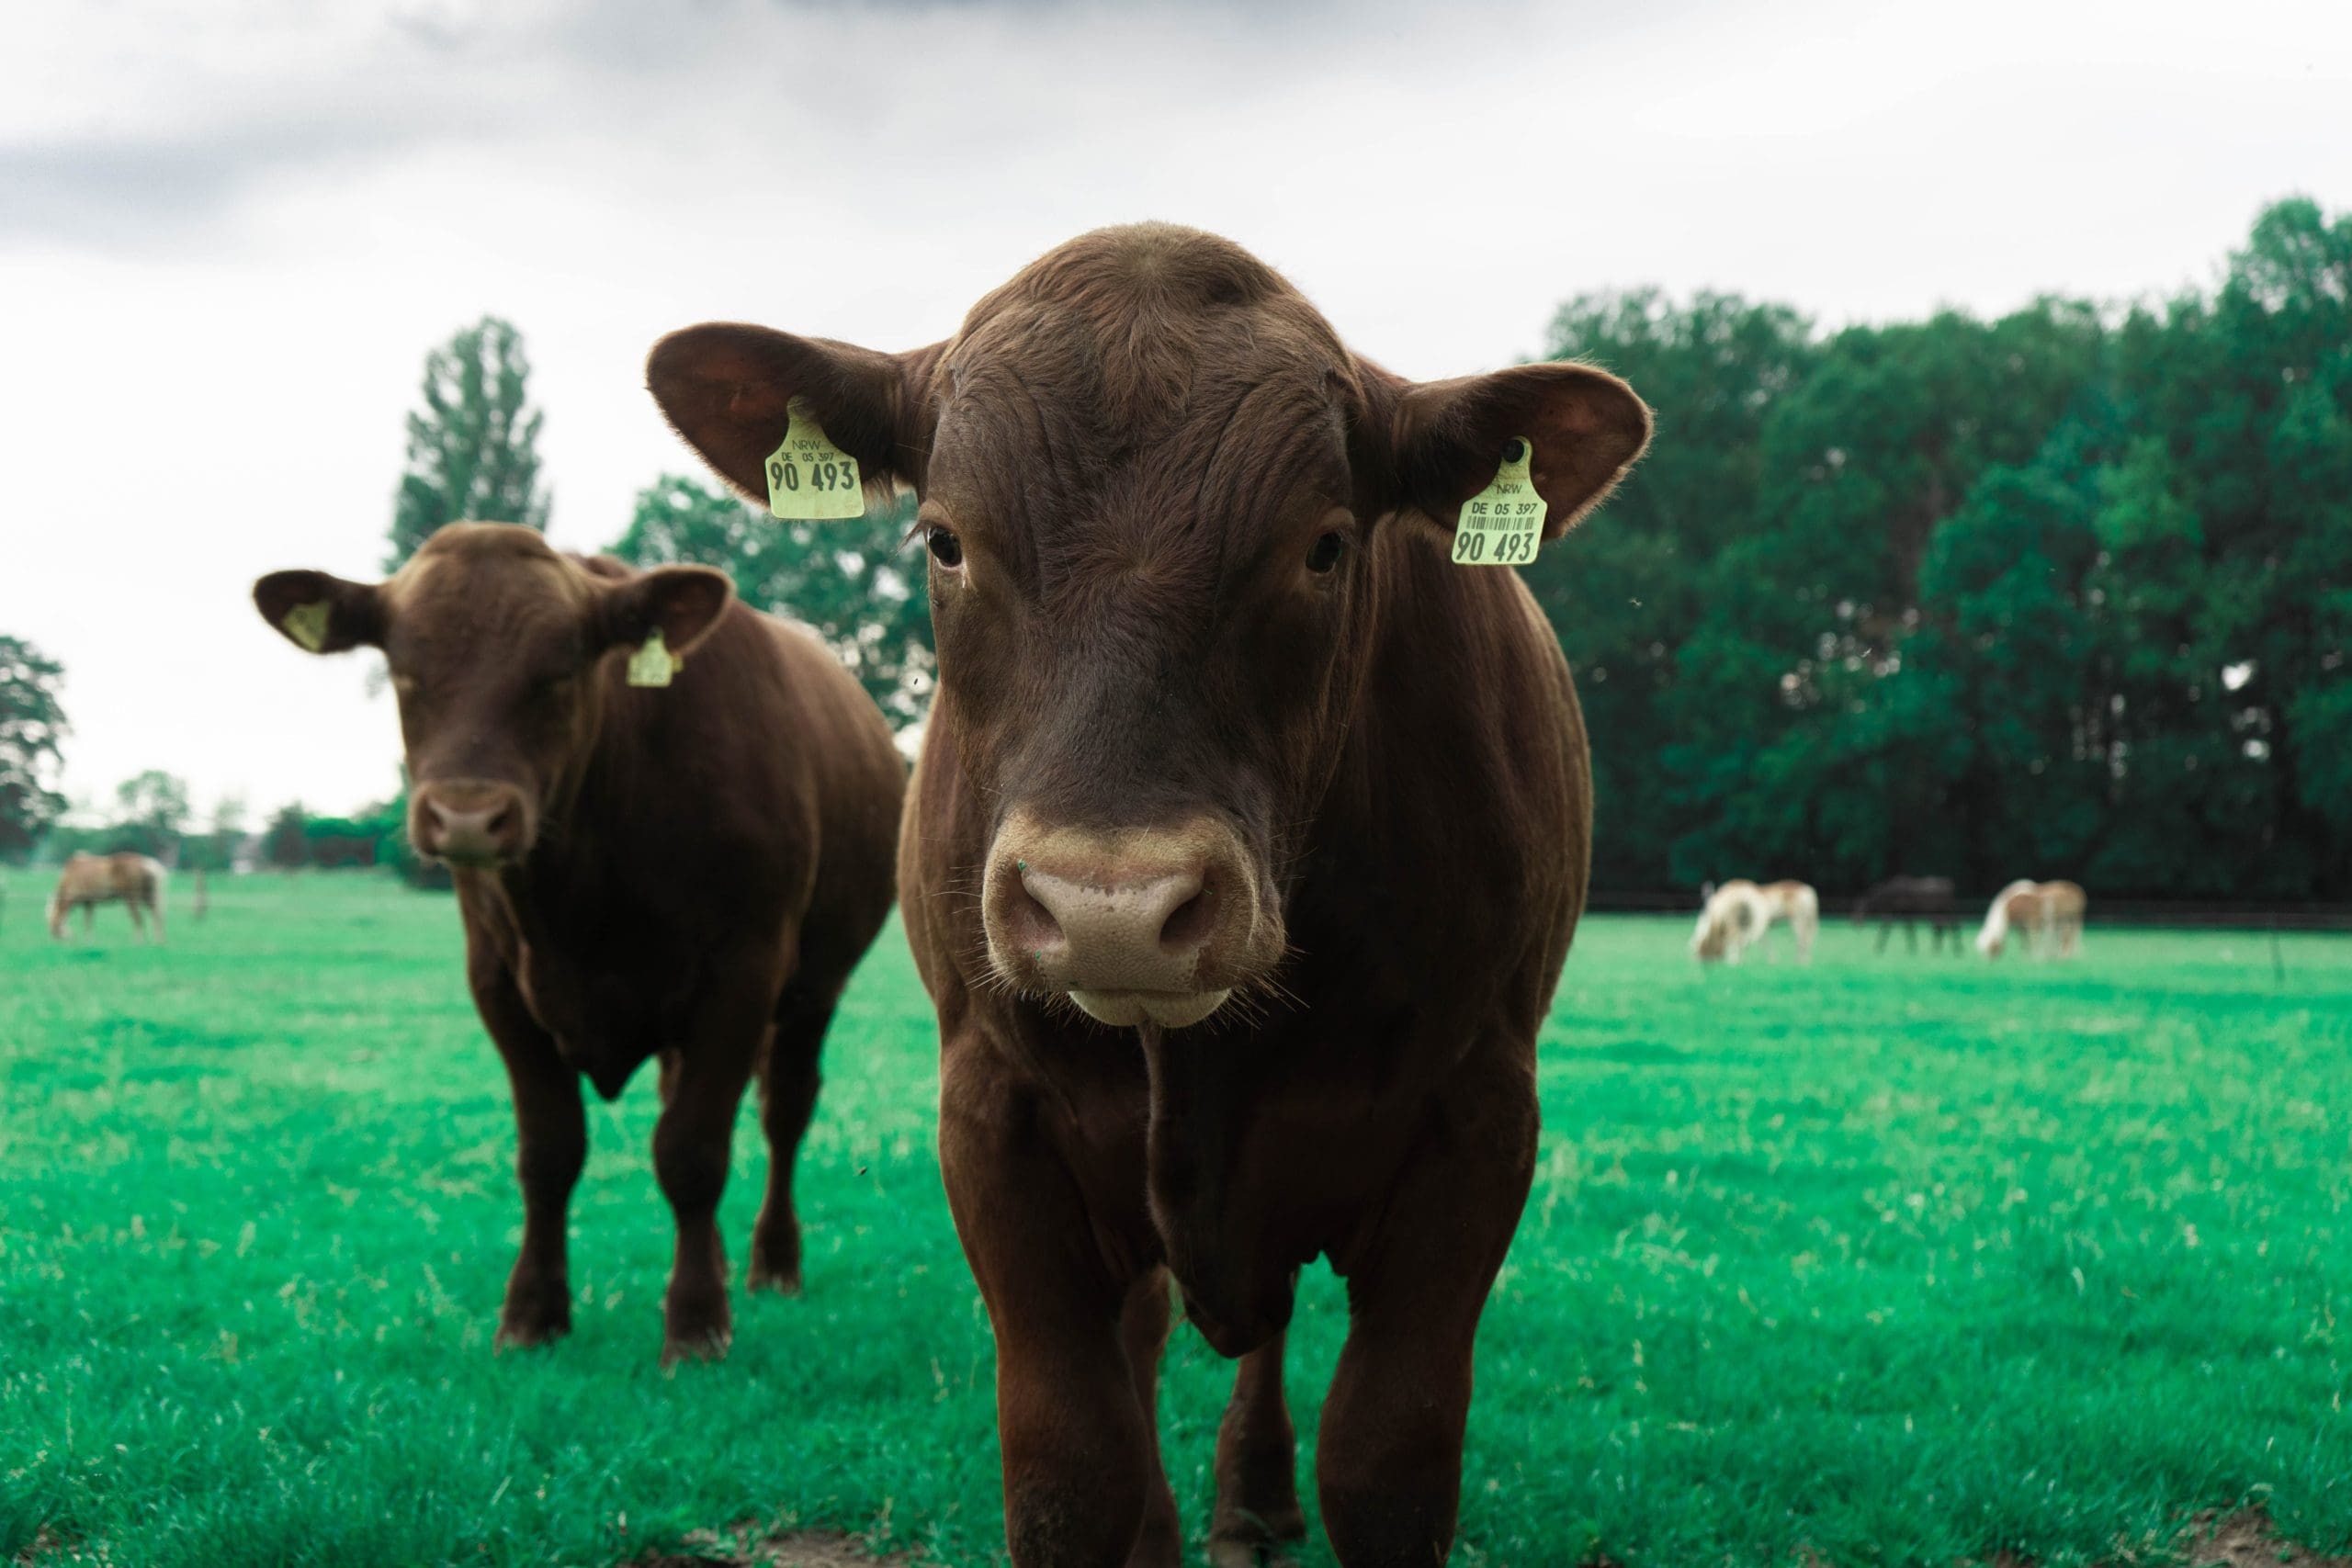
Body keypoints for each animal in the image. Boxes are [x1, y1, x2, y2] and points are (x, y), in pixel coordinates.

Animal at [48, 851, 167, 942]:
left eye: (53, 924)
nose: (58, 939)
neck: (70, 876)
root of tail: (146, 863)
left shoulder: (86, 900)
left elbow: (87, 921)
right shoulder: (89, 902)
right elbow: (88, 921)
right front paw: (89, 940)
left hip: (131, 898)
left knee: (138, 919)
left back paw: (138, 941)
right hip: (148, 897)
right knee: (157, 916)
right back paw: (159, 941)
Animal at [252, 523, 904, 1363]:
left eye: (560, 672)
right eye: (403, 669)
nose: (467, 816)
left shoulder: (743, 975)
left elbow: (692, 1151)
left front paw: (696, 1322)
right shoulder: (500, 982)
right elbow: (550, 1151)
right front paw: (534, 1312)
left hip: (816, 988)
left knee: (783, 1110)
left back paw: (771, 1263)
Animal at [648, 223, 1651, 1566]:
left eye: (1326, 544)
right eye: (945, 540)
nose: (1109, 908)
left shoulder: (1477, 1117)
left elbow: (1386, 1460)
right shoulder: (996, 1118)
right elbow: (1074, 1463)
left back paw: (1254, 1491)